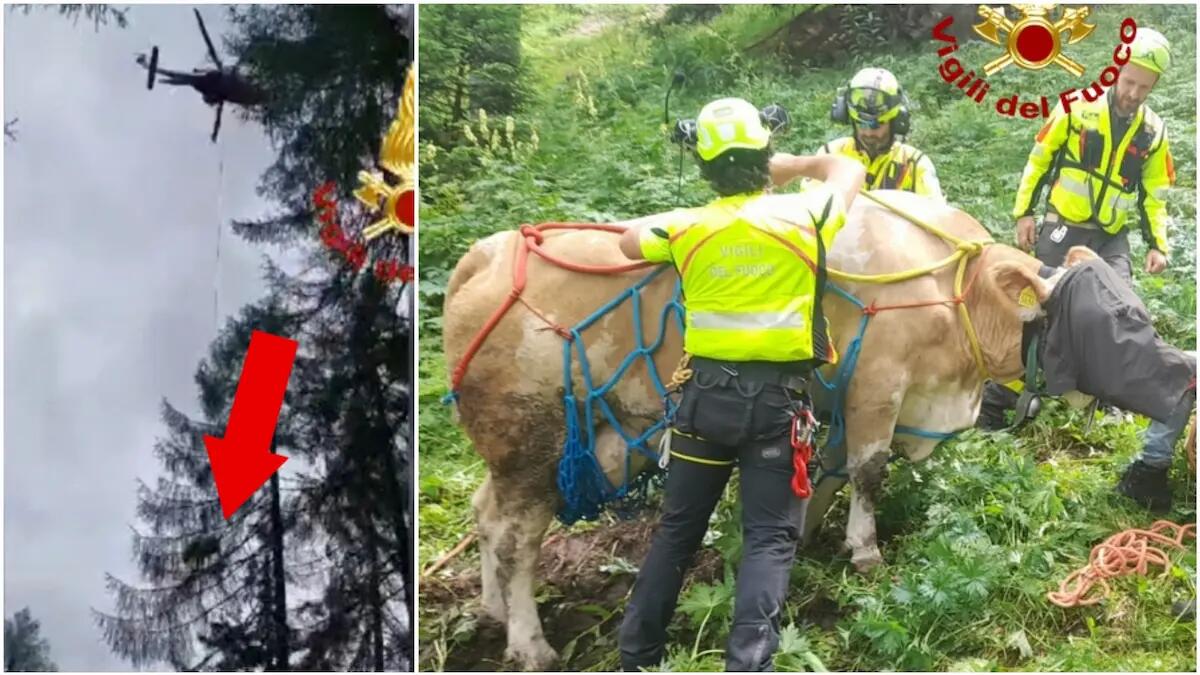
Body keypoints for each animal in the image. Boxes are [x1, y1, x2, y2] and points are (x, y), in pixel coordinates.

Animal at [440, 190, 1060, 670]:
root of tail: (487, 252)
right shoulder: (878, 386)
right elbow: (867, 472)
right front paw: (864, 551)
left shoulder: (842, 403)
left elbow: (830, 473)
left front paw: (808, 534)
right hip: (530, 443)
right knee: (516, 541)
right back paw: (529, 643)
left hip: (535, 453)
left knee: (485, 514)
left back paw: (493, 609)